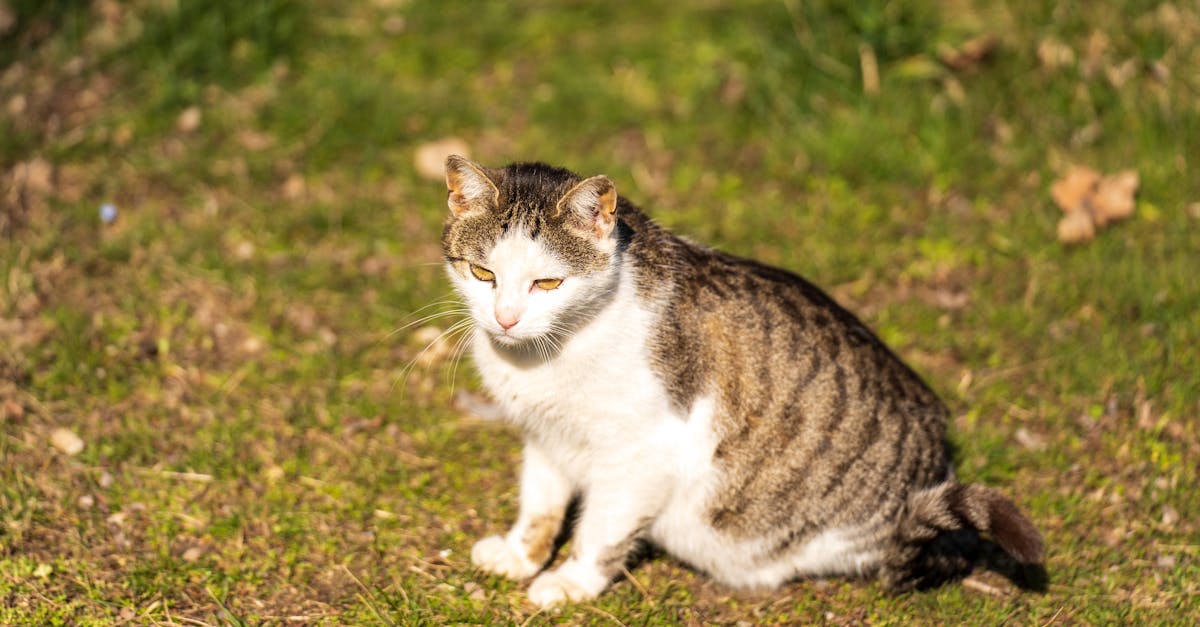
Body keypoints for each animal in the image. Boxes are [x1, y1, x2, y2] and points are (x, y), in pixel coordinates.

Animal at [441, 154, 1041, 605]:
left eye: (547, 283)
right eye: (483, 273)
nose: (506, 318)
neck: (541, 357)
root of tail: (937, 456)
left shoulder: (642, 453)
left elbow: (603, 528)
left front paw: (570, 582)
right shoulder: (545, 435)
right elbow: (539, 505)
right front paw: (521, 555)